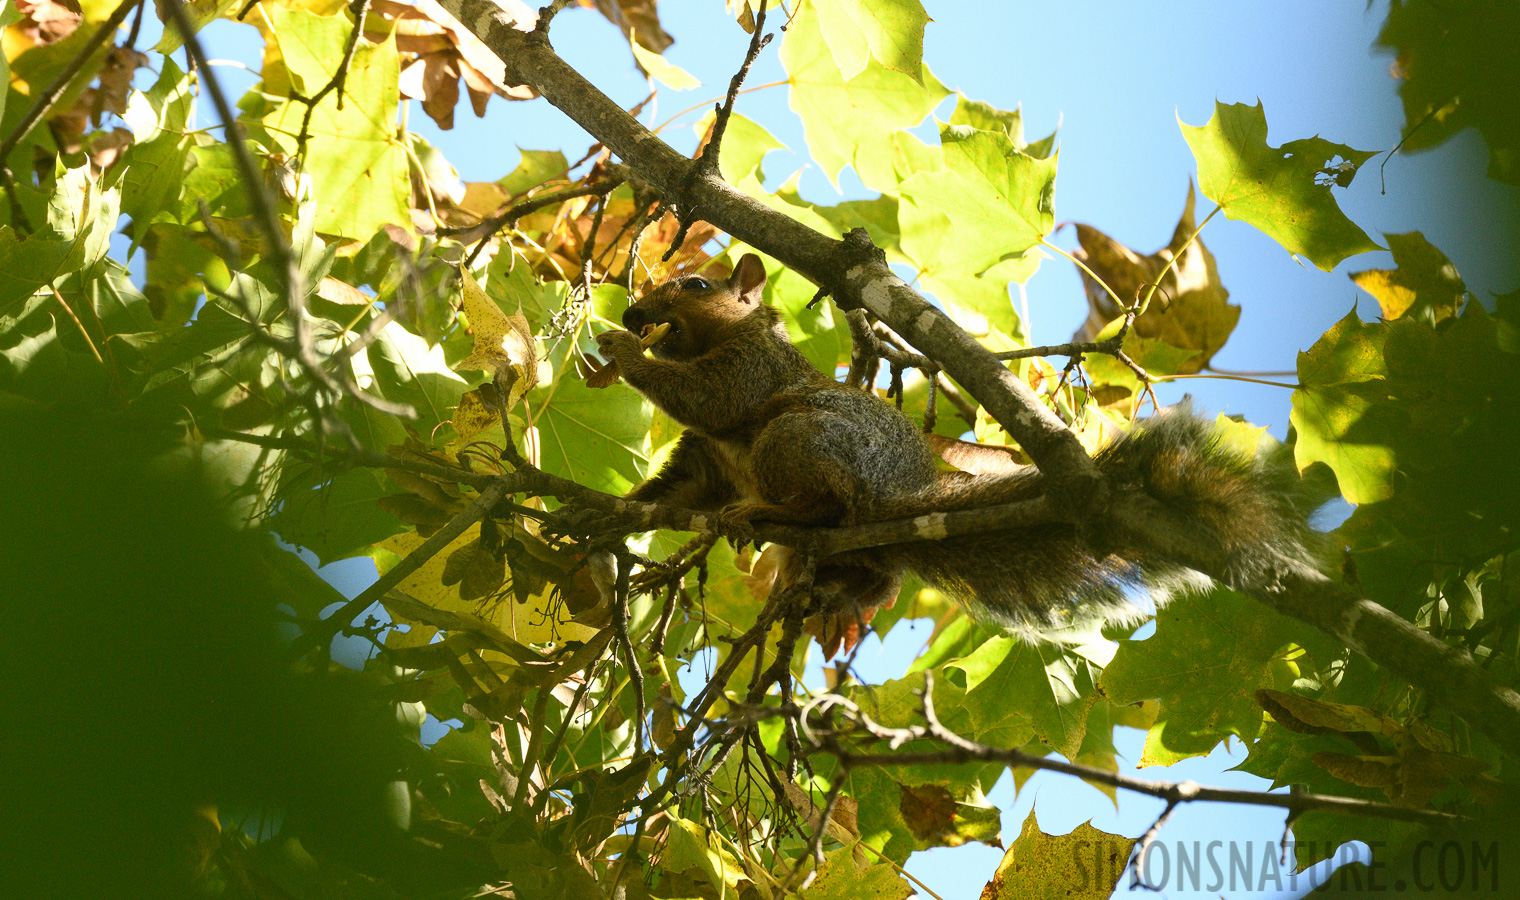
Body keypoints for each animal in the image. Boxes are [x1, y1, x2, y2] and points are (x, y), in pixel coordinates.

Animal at [592, 255, 1319, 638]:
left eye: (697, 286)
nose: (632, 311)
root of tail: (888, 511)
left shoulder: (749, 371)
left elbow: (706, 397)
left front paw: (622, 349)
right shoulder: (705, 461)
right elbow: (676, 488)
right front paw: (599, 518)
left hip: (797, 439)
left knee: (826, 504)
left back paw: (772, 513)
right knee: (870, 576)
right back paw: (829, 592)